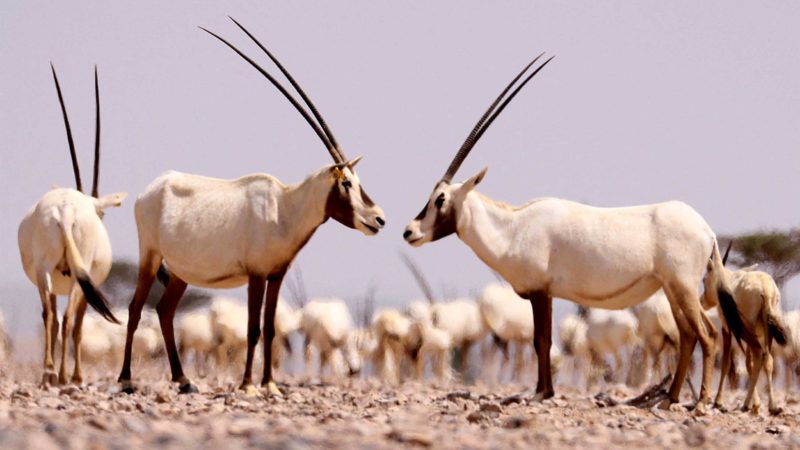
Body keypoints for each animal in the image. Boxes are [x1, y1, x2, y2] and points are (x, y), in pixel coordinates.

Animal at [18, 66, 123, 386]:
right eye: (101, 213)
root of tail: (65, 210)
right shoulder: (89, 285)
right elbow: (77, 326)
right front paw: (76, 374)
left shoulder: (53, 281)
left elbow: (50, 317)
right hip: (79, 276)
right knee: (67, 321)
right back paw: (66, 375)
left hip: (44, 271)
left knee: (49, 316)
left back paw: (49, 371)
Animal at [119, 19, 384, 396]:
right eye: (346, 183)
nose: (379, 219)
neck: (285, 207)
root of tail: (151, 189)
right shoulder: (256, 275)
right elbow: (253, 329)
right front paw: (247, 385)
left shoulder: (276, 275)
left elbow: (270, 328)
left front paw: (270, 385)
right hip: (150, 255)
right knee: (135, 308)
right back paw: (126, 378)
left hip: (181, 272)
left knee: (165, 311)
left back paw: (184, 380)